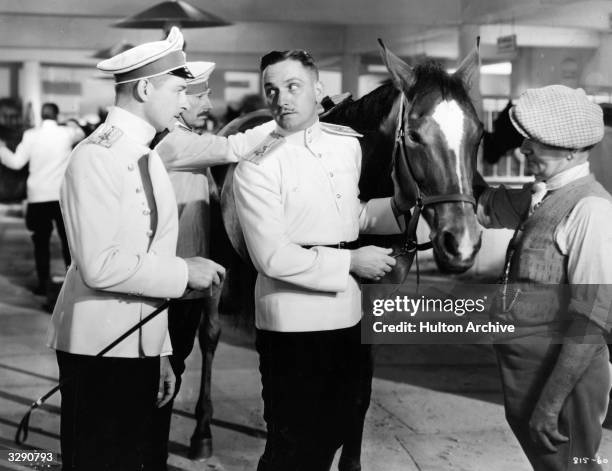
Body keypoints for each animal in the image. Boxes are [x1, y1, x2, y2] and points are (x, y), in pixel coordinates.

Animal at [204, 41, 482, 471]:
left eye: (478, 135)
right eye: (414, 135)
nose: (462, 242)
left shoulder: (370, 303)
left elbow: (358, 389)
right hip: (218, 263)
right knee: (212, 336)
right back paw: (202, 433)